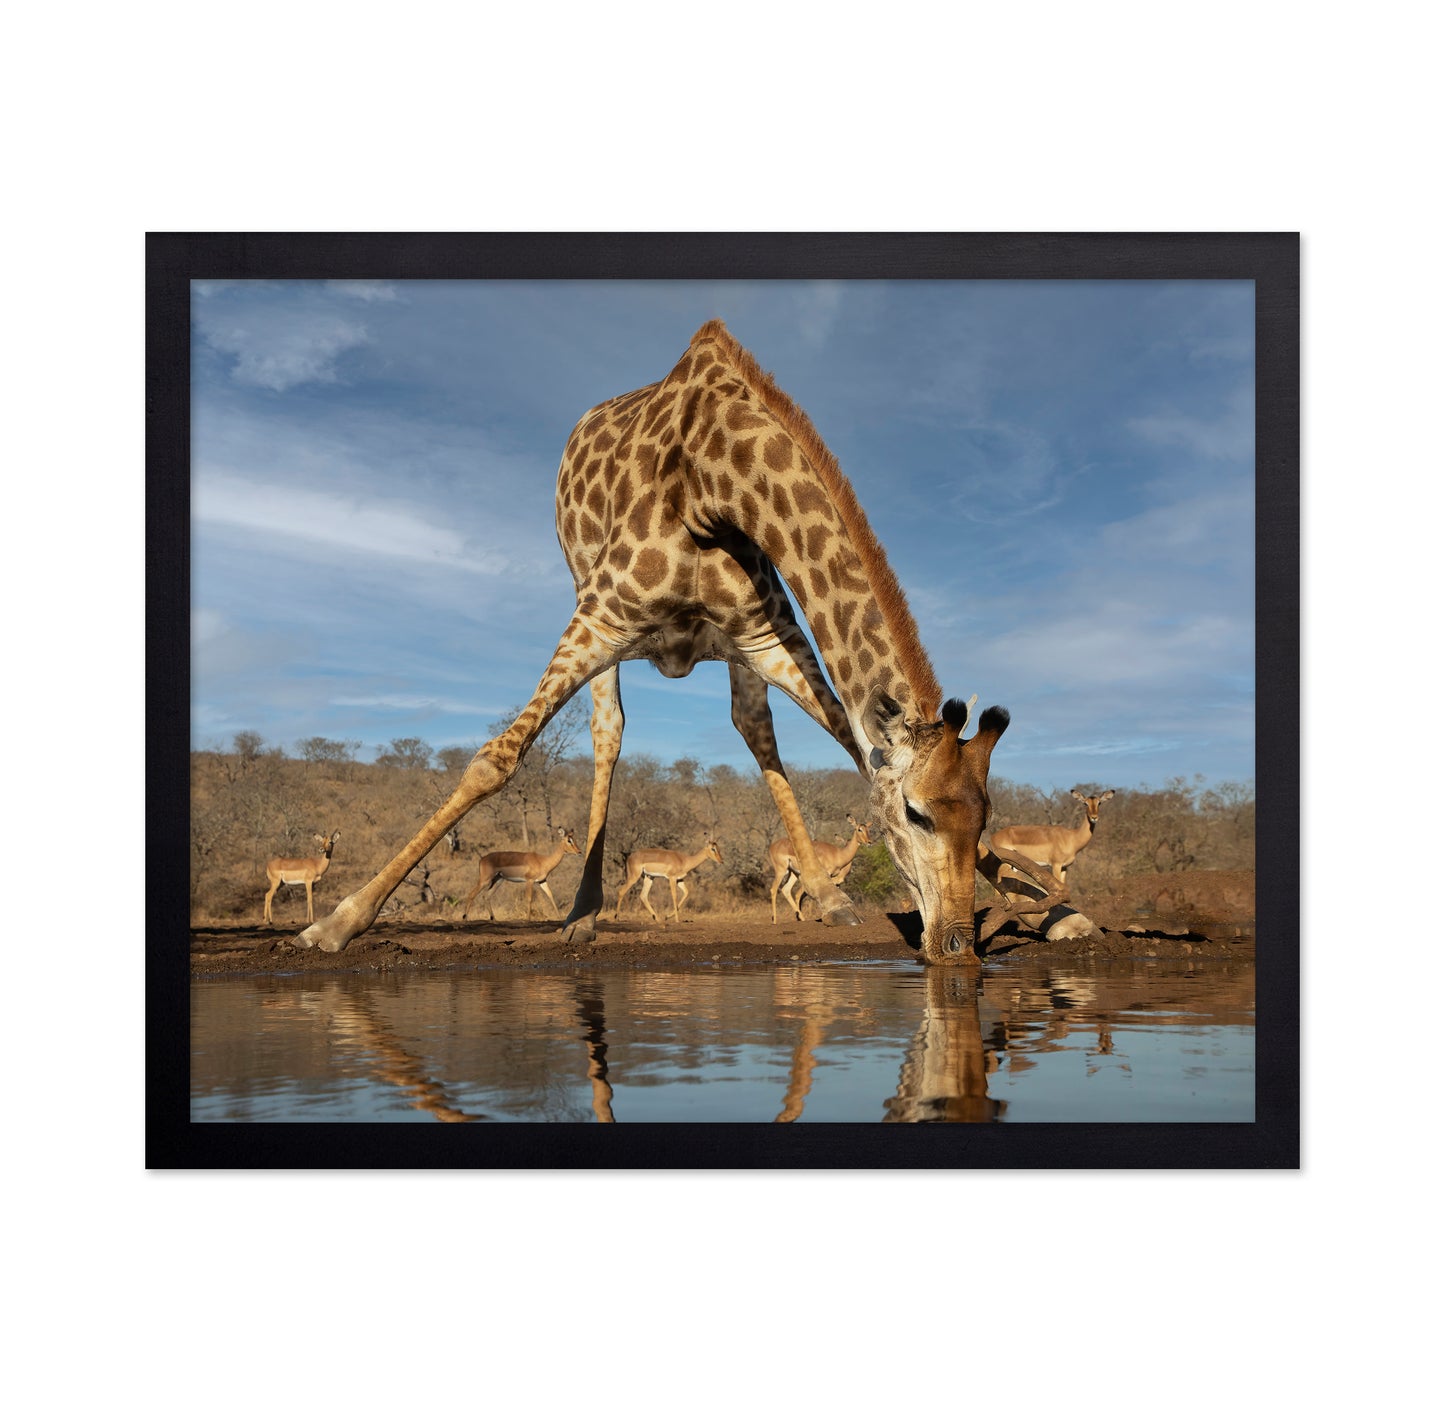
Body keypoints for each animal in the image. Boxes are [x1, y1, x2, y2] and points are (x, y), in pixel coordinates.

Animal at [294, 320, 1008, 965]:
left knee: (753, 728)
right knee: (608, 732)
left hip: (732, 652)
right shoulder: (604, 615)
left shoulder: (767, 636)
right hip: (589, 602)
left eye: (985, 818)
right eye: (915, 814)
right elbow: (496, 759)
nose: (955, 945)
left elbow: (848, 739)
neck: (716, 481)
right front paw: (337, 923)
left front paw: (1021, 901)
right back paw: (581, 914)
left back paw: (827, 897)